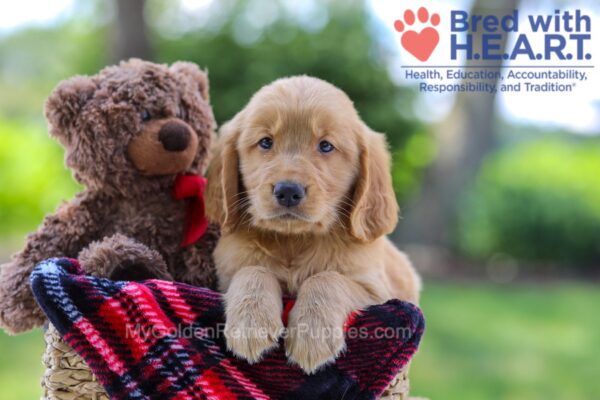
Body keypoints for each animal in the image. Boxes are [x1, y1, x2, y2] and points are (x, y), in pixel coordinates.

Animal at [206, 76, 422, 376]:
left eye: (326, 146)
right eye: (265, 142)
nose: (288, 191)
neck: (295, 241)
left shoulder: (377, 293)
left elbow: (327, 278)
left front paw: (312, 337)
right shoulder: (225, 276)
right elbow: (253, 270)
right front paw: (250, 325)